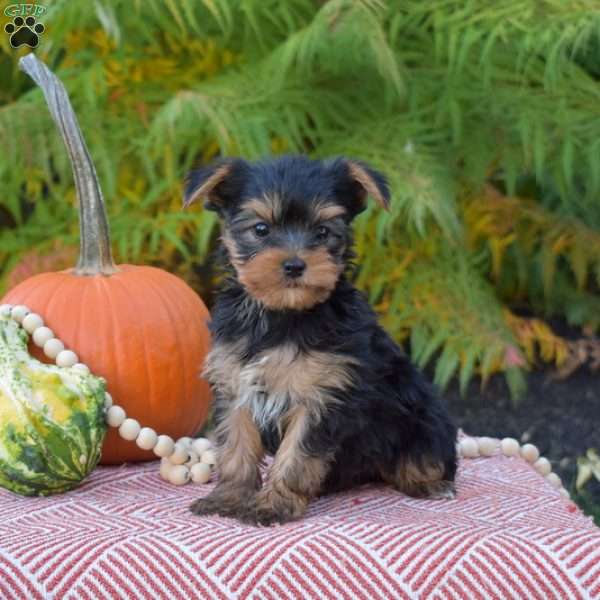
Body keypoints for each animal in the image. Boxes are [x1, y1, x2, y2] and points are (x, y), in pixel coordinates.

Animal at [185, 155, 458, 524]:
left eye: (323, 232)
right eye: (261, 229)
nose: (294, 265)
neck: (282, 314)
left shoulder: (322, 396)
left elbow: (296, 456)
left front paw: (274, 504)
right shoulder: (235, 383)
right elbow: (235, 447)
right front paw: (228, 498)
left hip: (425, 420)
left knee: (426, 456)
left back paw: (431, 483)